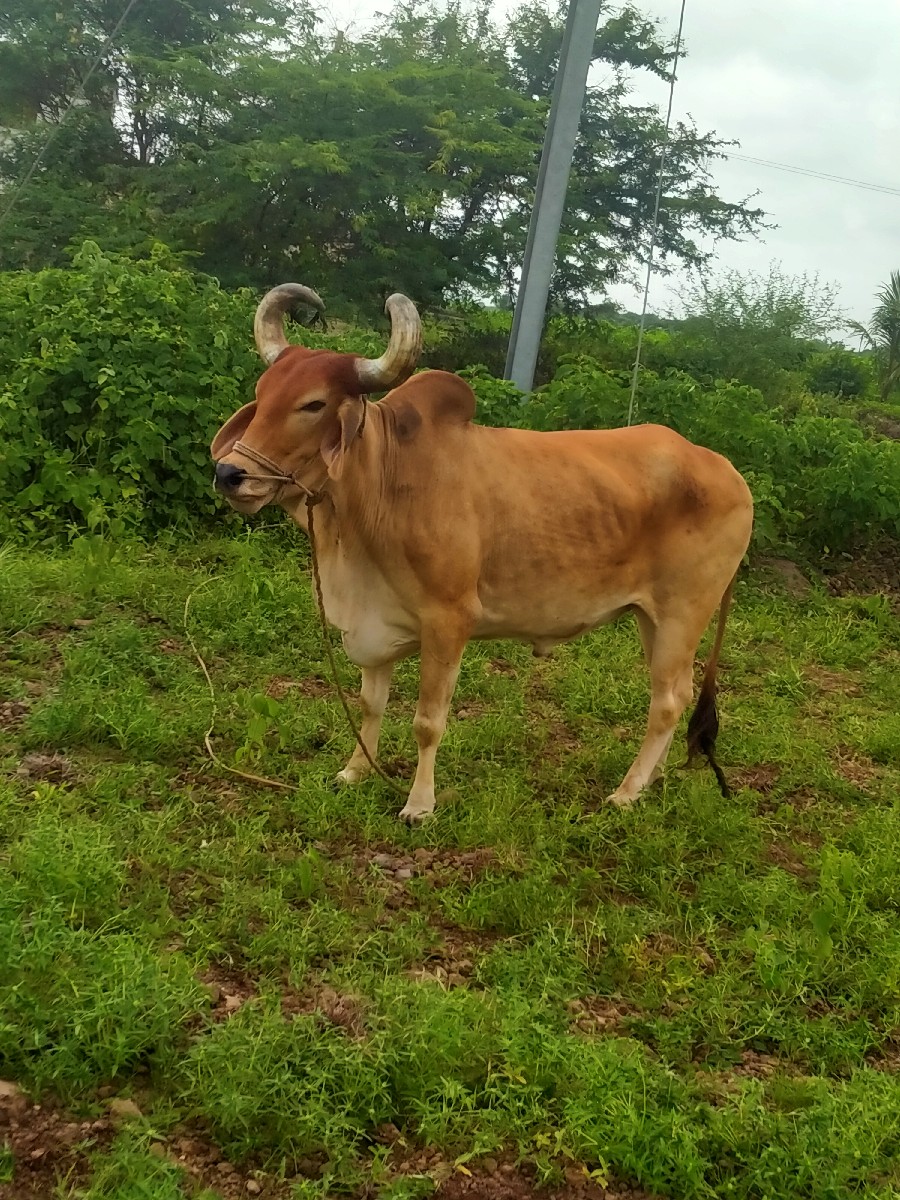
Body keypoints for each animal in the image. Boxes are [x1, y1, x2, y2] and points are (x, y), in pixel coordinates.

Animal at [211, 284, 754, 823]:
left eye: (313, 404)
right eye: (262, 394)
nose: (229, 473)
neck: (379, 491)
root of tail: (726, 469)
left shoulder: (449, 620)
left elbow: (427, 721)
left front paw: (419, 804)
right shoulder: (374, 621)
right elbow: (371, 705)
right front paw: (354, 771)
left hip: (682, 613)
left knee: (667, 700)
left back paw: (626, 792)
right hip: (651, 618)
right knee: (678, 693)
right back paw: (651, 780)